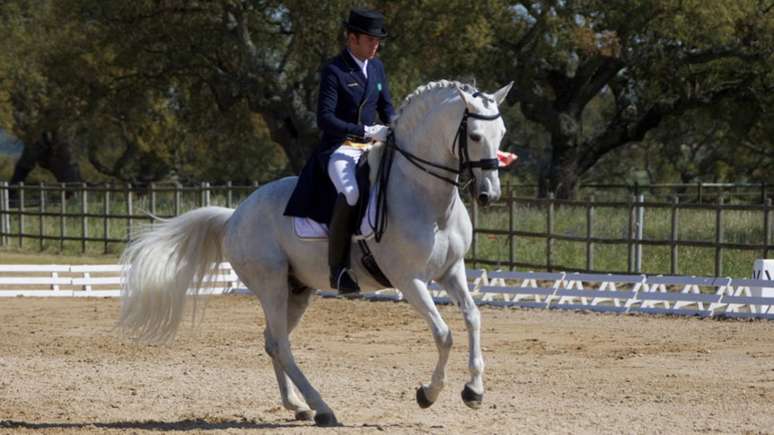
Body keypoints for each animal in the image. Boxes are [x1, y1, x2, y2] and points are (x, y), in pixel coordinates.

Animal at [118, 80, 512, 428]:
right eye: (475, 136)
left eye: (502, 134)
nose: (489, 195)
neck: (426, 198)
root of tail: (234, 216)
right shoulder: (409, 280)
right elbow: (444, 334)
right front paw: (428, 394)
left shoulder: (451, 270)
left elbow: (473, 317)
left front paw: (474, 391)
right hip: (272, 285)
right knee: (281, 344)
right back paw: (322, 408)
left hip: (298, 290)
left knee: (273, 342)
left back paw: (298, 406)